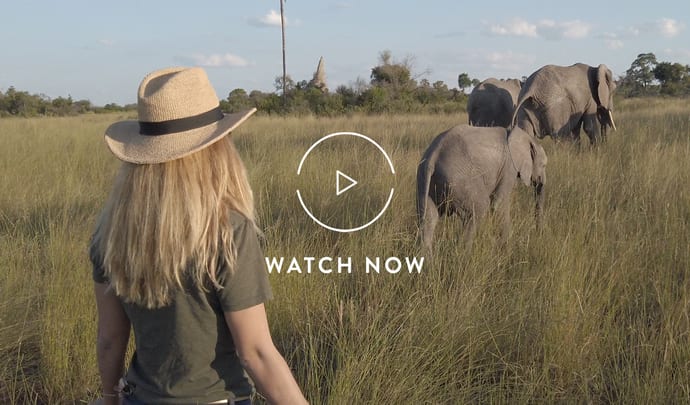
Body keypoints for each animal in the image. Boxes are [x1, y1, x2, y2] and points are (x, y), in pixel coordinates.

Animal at [416, 125, 547, 252]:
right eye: (544, 165)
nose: (538, 234)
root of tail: (432, 157)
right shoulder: (509, 167)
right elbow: (498, 203)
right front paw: (507, 248)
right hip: (459, 181)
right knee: (477, 210)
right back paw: (464, 254)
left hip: (425, 180)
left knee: (428, 219)